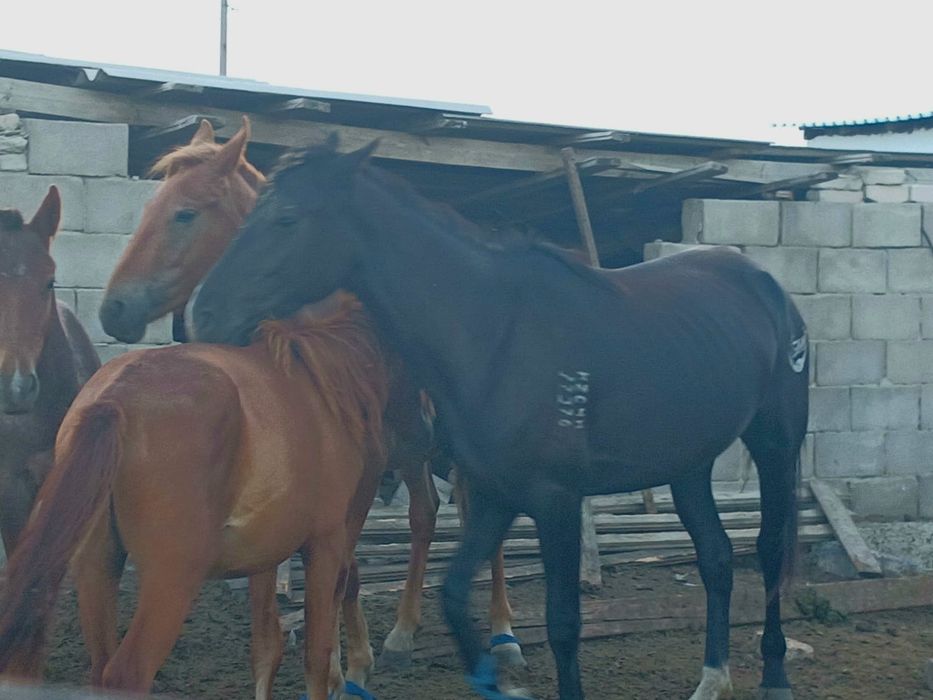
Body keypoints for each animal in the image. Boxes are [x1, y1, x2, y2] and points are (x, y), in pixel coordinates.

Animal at [0, 291, 392, 700]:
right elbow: (316, 657)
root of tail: (115, 400)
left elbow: (267, 648)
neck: (325, 379)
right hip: (171, 580)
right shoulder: (326, 544)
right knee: (127, 672)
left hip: (96, 566)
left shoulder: (266, 557)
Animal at [99, 117, 525, 673]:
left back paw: (503, 632)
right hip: (416, 453)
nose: (113, 310)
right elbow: (347, 566)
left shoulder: (366, 468)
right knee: (427, 514)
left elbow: (345, 563)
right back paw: (404, 630)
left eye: (184, 213)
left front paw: (351, 659)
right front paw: (351, 654)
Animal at [190, 139, 809, 700]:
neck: (496, 335)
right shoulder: (494, 492)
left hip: (776, 444)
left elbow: (563, 624)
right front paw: (495, 678)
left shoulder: (556, 501)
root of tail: (765, 283)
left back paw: (775, 676)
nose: (202, 312)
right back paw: (713, 679)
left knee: (768, 549)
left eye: (288, 219)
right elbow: (453, 593)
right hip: (688, 464)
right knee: (717, 558)